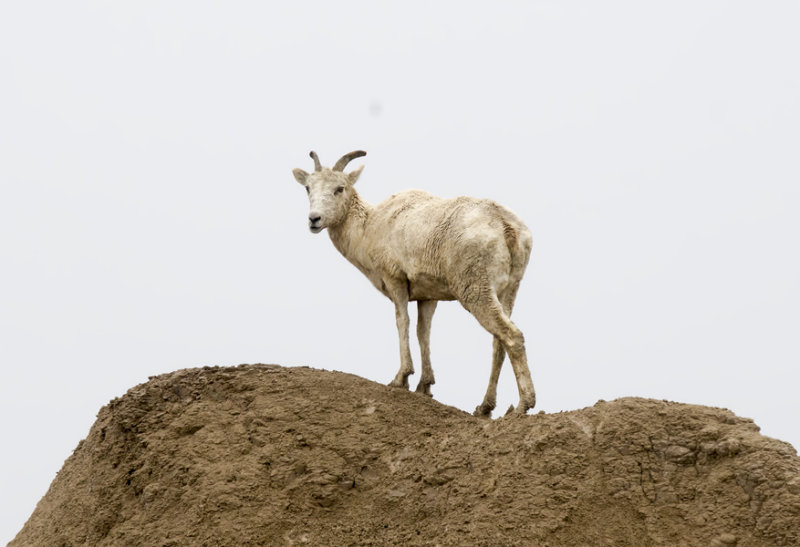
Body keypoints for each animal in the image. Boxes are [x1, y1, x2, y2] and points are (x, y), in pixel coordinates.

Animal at [294, 150, 536, 416]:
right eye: (308, 187)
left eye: (340, 188)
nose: (314, 220)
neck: (370, 227)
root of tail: (506, 227)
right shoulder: (428, 296)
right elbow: (423, 331)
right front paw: (425, 386)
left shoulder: (395, 280)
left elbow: (403, 322)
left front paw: (400, 379)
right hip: (508, 291)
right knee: (498, 342)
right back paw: (484, 408)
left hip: (475, 290)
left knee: (512, 335)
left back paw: (522, 406)